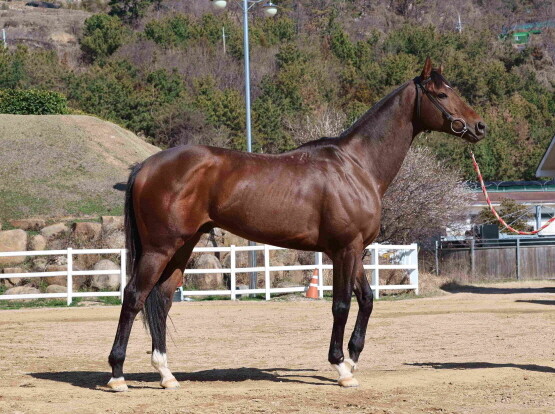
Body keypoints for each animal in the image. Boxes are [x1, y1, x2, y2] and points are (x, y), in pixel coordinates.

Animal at [106, 57, 484, 392]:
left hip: (183, 247)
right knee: (134, 296)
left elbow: (366, 299)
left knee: (161, 299)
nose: (479, 126)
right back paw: (117, 375)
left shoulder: (355, 250)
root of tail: (146, 166)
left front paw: (353, 358)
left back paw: (166, 375)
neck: (356, 166)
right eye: (441, 94)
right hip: (159, 248)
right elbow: (341, 305)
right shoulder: (344, 250)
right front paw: (340, 368)